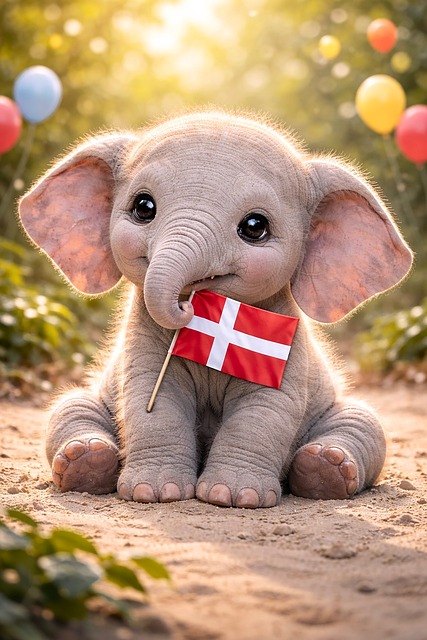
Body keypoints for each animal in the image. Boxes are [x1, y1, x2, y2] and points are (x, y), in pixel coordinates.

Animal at [19, 111, 413, 508]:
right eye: (143, 208)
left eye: (255, 227)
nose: (184, 304)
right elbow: (151, 396)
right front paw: (155, 494)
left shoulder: (287, 346)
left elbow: (265, 408)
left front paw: (234, 498)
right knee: (69, 407)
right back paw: (85, 459)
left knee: (363, 422)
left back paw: (326, 469)